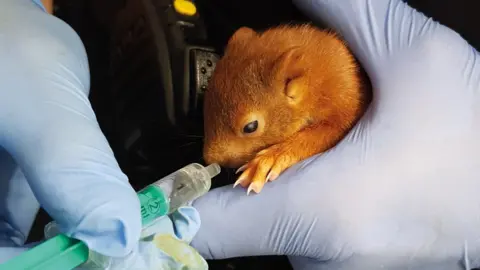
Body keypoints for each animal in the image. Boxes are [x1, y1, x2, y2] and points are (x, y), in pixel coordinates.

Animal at [202, 23, 372, 194]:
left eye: (250, 127)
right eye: (207, 96)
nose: (210, 158)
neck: (315, 85)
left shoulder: (346, 106)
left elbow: (323, 135)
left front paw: (269, 160)